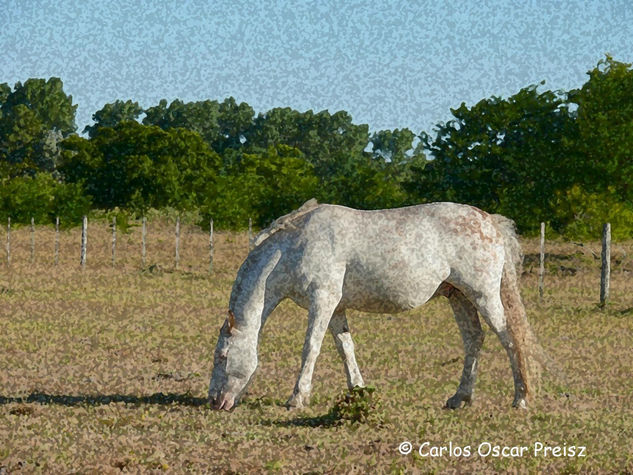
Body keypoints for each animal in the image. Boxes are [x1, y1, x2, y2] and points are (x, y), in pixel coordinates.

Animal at [209, 199, 544, 410]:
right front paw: (357, 390)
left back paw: (521, 399)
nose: (214, 401)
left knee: (510, 339)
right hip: (459, 297)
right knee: (474, 339)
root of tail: (488, 220)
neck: (294, 246)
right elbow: (345, 348)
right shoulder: (336, 308)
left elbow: (311, 348)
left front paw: (297, 398)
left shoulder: (322, 301)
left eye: (223, 357)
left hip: (483, 296)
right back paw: (459, 398)